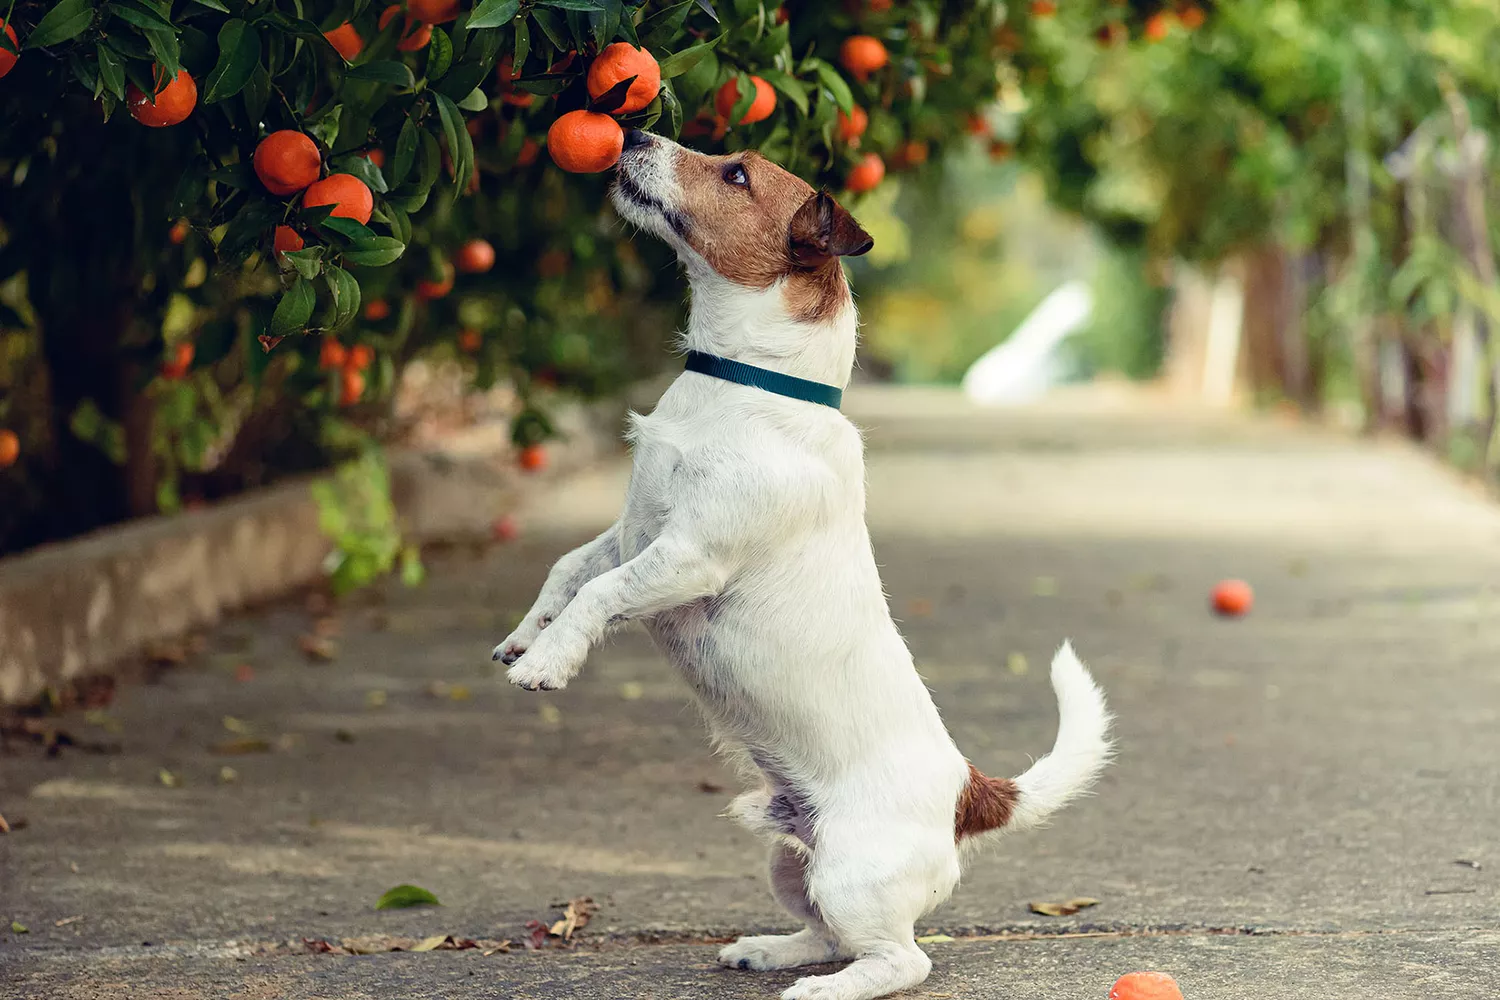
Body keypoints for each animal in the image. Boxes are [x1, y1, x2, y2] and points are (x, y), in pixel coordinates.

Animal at [492, 132, 1116, 1000]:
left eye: (736, 174)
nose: (637, 133)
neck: (746, 387)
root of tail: (967, 791)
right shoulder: (631, 530)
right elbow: (567, 571)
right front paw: (526, 637)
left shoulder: (688, 557)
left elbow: (602, 594)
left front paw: (547, 664)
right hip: (793, 864)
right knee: (825, 933)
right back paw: (769, 950)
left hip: (852, 874)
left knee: (901, 960)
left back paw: (823, 990)